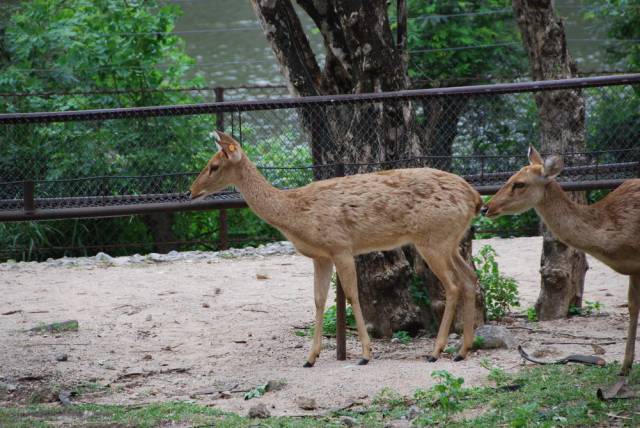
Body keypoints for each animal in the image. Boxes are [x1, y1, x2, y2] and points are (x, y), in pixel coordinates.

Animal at [190, 132, 480, 366]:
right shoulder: (320, 256)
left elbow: (352, 295)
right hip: (449, 240)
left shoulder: (340, 246)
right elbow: (319, 299)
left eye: (214, 166)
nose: (191, 191)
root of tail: (475, 198)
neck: (295, 215)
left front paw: (365, 354)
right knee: (469, 278)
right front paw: (310, 357)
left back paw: (436, 352)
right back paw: (461, 351)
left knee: (453, 285)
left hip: (433, 238)